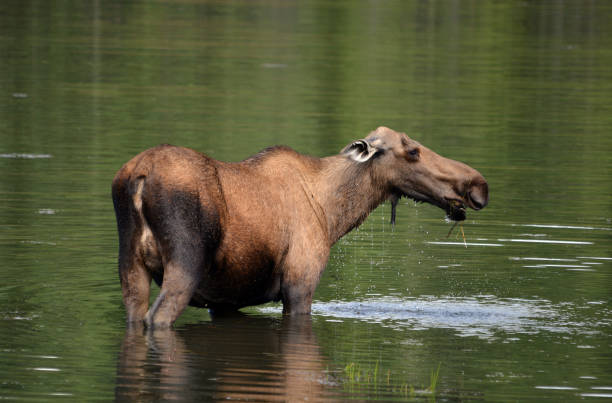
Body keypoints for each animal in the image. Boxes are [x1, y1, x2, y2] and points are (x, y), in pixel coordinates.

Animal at [113, 126, 488, 328]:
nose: (478, 186)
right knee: (157, 318)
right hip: (185, 263)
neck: (333, 214)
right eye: (412, 151)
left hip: (130, 266)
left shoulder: (226, 299)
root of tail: (137, 178)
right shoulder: (300, 283)